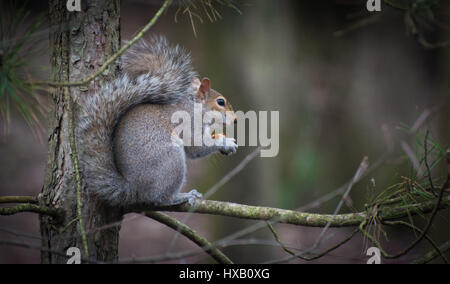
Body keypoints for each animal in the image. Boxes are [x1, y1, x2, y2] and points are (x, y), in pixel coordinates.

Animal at [77, 36, 239, 207]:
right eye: (220, 102)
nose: (236, 120)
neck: (195, 106)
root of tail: (133, 189)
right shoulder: (189, 124)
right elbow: (197, 147)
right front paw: (225, 142)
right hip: (171, 161)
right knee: (160, 199)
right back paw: (182, 196)